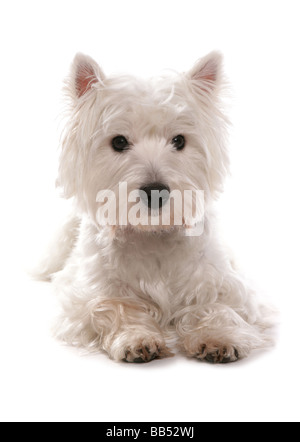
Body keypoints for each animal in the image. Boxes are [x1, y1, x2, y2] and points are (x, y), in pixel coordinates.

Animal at [37, 51, 274, 362]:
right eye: (119, 141)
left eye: (179, 140)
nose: (155, 191)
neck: (152, 233)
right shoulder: (84, 298)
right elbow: (113, 306)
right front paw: (138, 340)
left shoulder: (232, 290)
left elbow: (217, 307)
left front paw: (218, 339)